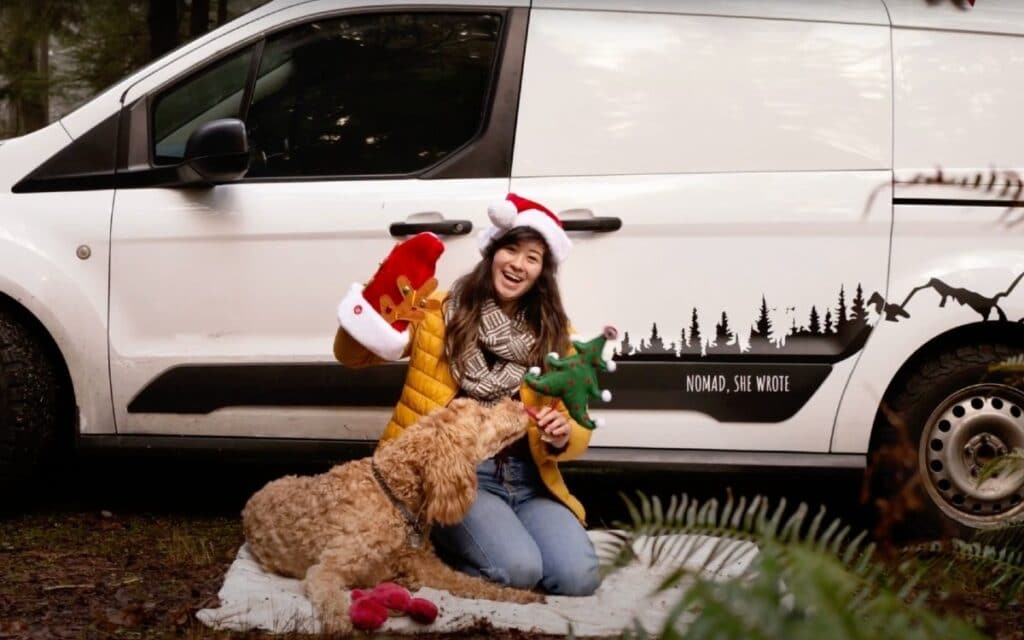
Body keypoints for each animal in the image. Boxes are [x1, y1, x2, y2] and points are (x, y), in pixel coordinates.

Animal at [240, 397, 544, 630]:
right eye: (481, 417)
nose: (519, 404)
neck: (393, 493)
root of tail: (250, 502)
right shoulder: (326, 570)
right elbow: (333, 603)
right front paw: (341, 626)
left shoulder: (428, 566)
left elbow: (475, 584)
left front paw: (523, 595)